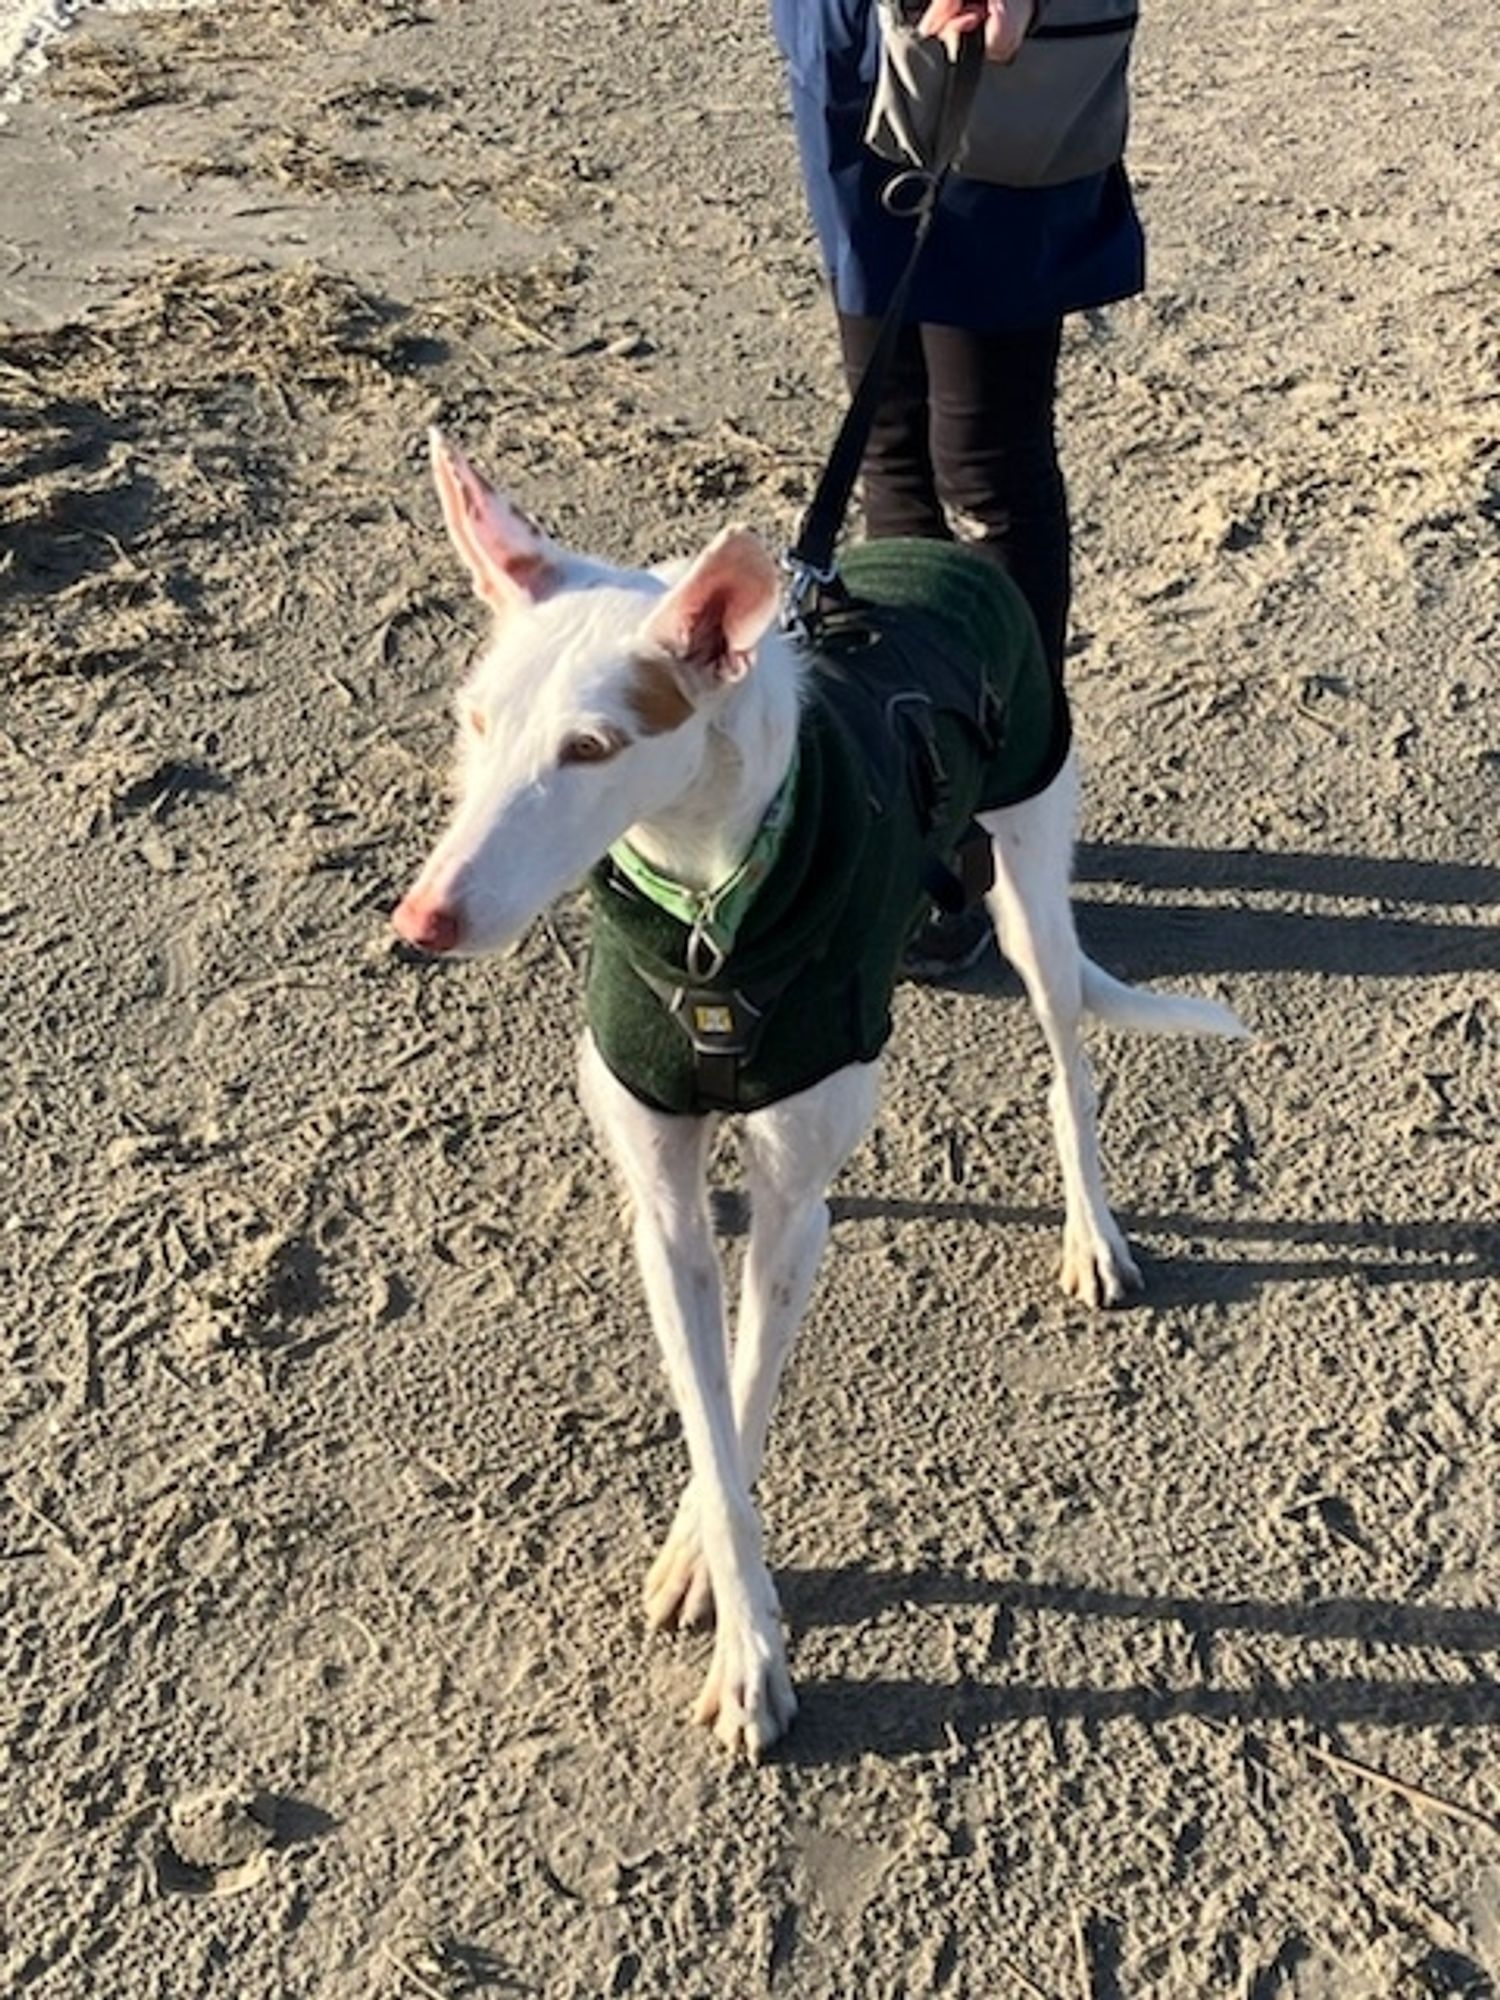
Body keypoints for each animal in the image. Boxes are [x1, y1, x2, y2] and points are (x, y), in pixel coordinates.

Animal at [390, 430, 1248, 1760]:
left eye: (591, 749)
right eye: (474, 721)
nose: (421, 922)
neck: (706, 906)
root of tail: (943, 553)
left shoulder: (797, 1208)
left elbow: (743, 1393)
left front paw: (738, 1630)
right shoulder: (667, 1205)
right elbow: (705, 1399)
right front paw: (721, 1577)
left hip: (1034, 888)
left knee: (1070, 1064)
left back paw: (1092, 1231)